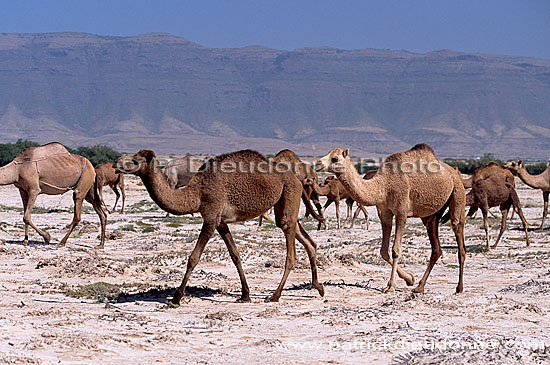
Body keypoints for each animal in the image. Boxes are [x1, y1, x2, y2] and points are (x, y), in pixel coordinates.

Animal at [114, 148, 326, 304]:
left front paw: (176, 298)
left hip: (289, 193)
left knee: (291, 252)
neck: (197, 192)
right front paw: (245, 295)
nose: (116, 164)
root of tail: (297, 178)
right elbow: (235, 255)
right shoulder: (221, 222)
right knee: (307, 240)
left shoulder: (210, 217)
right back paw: (319, 287)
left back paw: (274, 295)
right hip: (284, 202)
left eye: (135, 160)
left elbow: (193, 257)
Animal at [316, 144, 468, 294]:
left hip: (458, 193)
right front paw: (409, 279)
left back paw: (459, 288)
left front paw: (392, 286)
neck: (384, 186)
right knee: (436, 247)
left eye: (335, 158)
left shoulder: (401, 212)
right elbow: (383, 251)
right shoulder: (384, 213)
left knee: (458, 232)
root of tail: (454, 172)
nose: (317, 164)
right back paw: (420, 286)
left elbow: (395, 250)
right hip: (430, 215)